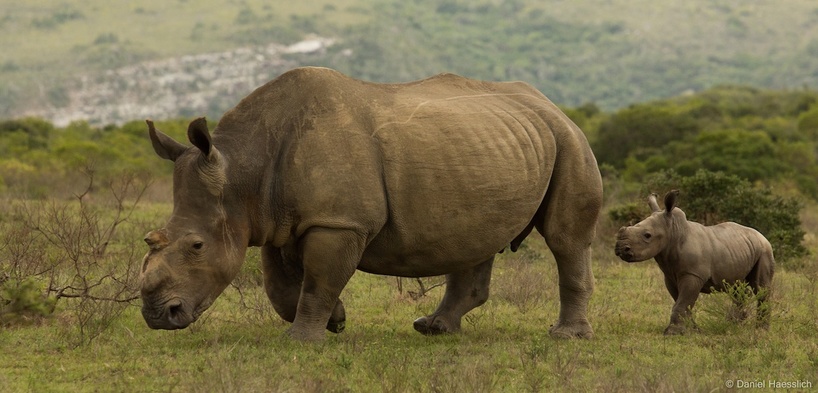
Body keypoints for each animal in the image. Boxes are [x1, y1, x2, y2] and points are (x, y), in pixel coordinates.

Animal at [139, 66, 600, 338]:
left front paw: (303, 340)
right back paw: (433, 329)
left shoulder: (339, 221)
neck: (241, 176)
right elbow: (279, 286)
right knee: (475, 237)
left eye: (196, 246)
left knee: (566, 240)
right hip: (496, 144)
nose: (158, 317)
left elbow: (318, 282)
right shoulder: (274, 220)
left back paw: (566, 336)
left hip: (568, 139)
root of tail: (548, 102)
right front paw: (336, 322)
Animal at [612, 190, 772, 334]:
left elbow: (682, 302)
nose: (620, 248)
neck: (674, 231)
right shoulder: (671, 276)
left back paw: (760, 330)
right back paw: (733, 325)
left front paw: (673, 332)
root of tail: (761, 235)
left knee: (761, 288)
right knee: (737, 288)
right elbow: (682, 302)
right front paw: (693, 330)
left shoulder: (693, 274)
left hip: (764, 250)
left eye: (647, 235)